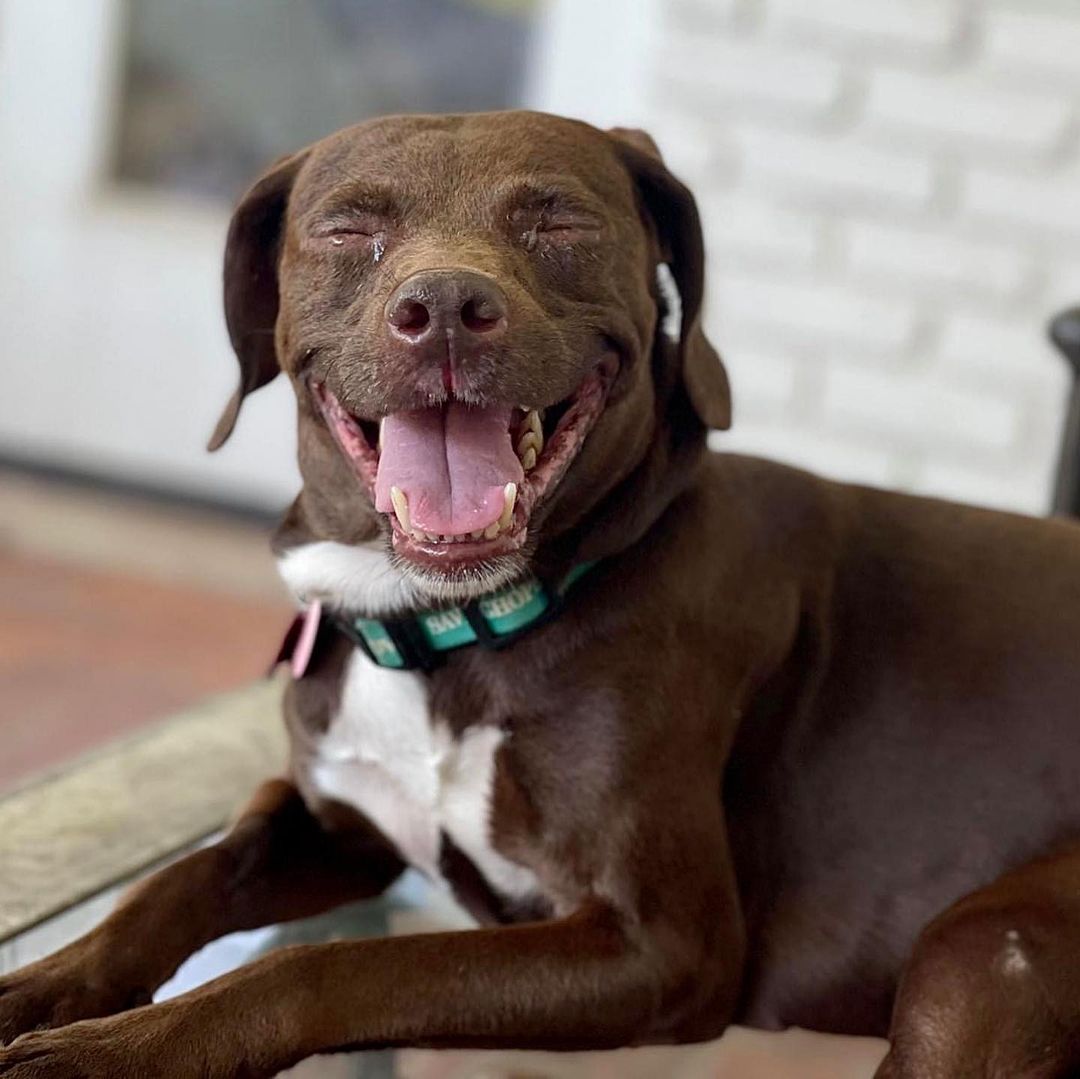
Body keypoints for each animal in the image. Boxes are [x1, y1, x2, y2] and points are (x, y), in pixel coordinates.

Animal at [2, 111, 1080, 1079]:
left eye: (560, 221)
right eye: (347, 229)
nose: (444, 307)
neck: (444, 627)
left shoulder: (659, 947)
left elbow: (332, 966)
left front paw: (108, 1054)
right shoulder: (338, 828)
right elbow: (176, 880)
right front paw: (39, 989)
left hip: (985, 954)